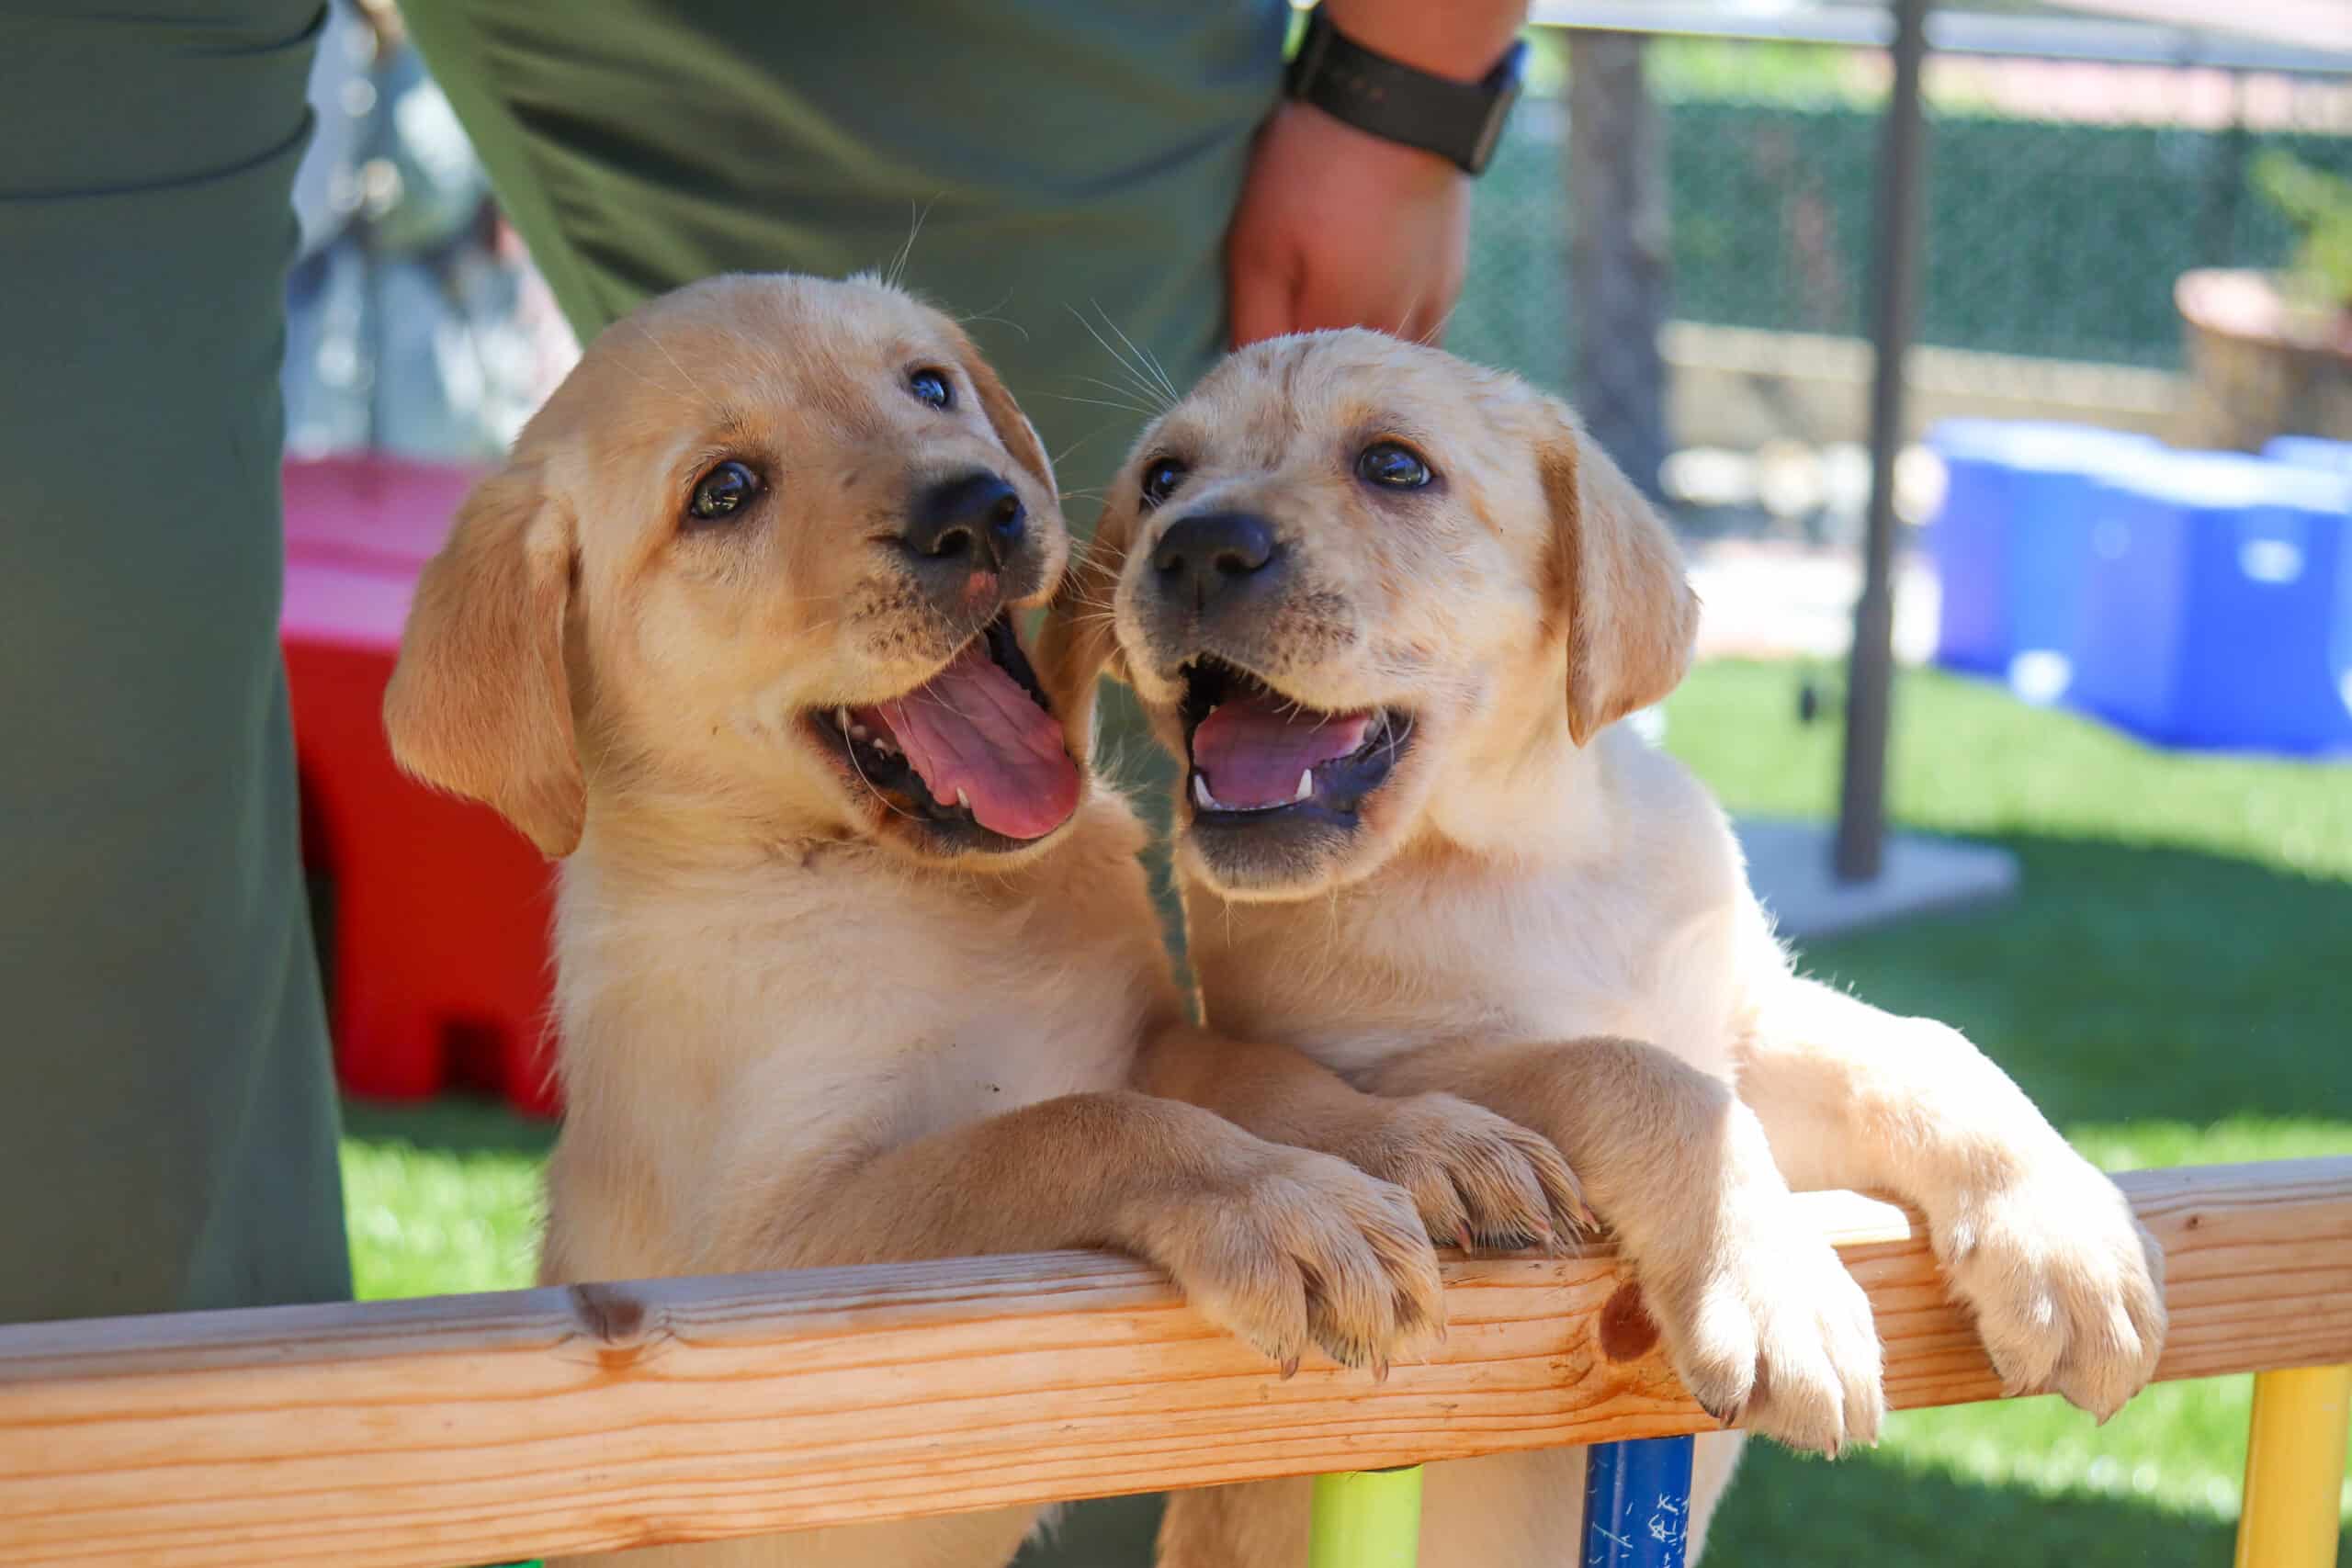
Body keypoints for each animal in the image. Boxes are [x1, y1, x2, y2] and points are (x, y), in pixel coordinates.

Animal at [385, 278, 1580, 1568]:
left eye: (928, 385)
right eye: (724, 491)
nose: (977, 510)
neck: (935, 898)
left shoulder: (1138, 1036)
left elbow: (1239, 1070)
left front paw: (1420, 1141)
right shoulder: (763, 1269)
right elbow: (1058, 1128)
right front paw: (1289, 1208)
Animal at [1048, 324, 2164, 1561]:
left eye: (1394, 467)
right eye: (1161, 479)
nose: (1194, 545)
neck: (1533, 856)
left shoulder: (1749, 1025)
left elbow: (1924, 1047)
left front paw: (2069, 1243)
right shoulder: (1372, 1056)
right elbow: (1632, 1072)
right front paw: (1779, 1292)